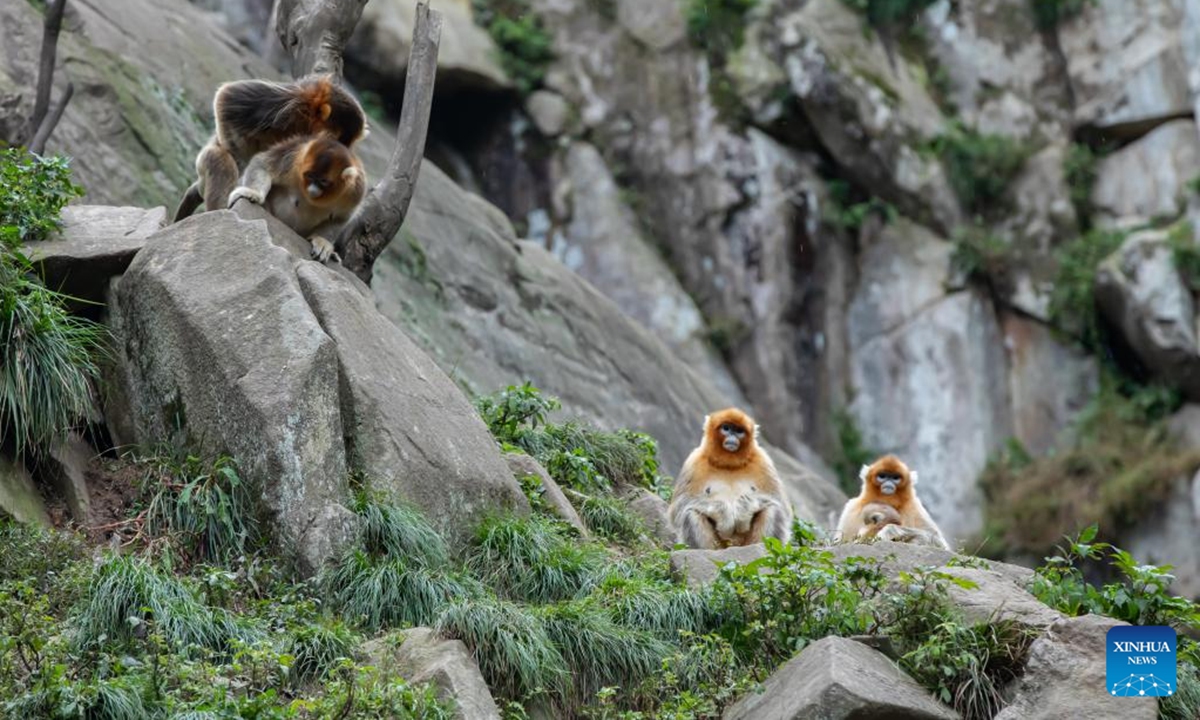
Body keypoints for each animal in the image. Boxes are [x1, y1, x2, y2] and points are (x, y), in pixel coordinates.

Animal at [175, 75, 364, 222]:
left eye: (344, 144)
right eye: (333, 138)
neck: (305, 123)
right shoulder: (288, 101)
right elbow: (227, 95)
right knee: (220, 158)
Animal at [226, 132, 362, 261]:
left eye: (323, 182)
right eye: (310, 176)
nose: (312, 190)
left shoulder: (355, 190)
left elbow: (342, 217)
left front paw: (322, 241)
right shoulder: (295, 154)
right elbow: (262, 164)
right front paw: (253, 193)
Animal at [672, 408, 792, 549]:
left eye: (739, 431)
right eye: (726, 428)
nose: (732, 436)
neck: (729, 465)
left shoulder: (763, 461)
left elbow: (780, 503)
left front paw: (744, 508)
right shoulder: (693, 462)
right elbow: (680, 506)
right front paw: (723, 513)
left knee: (773, 509)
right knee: (690, 513)